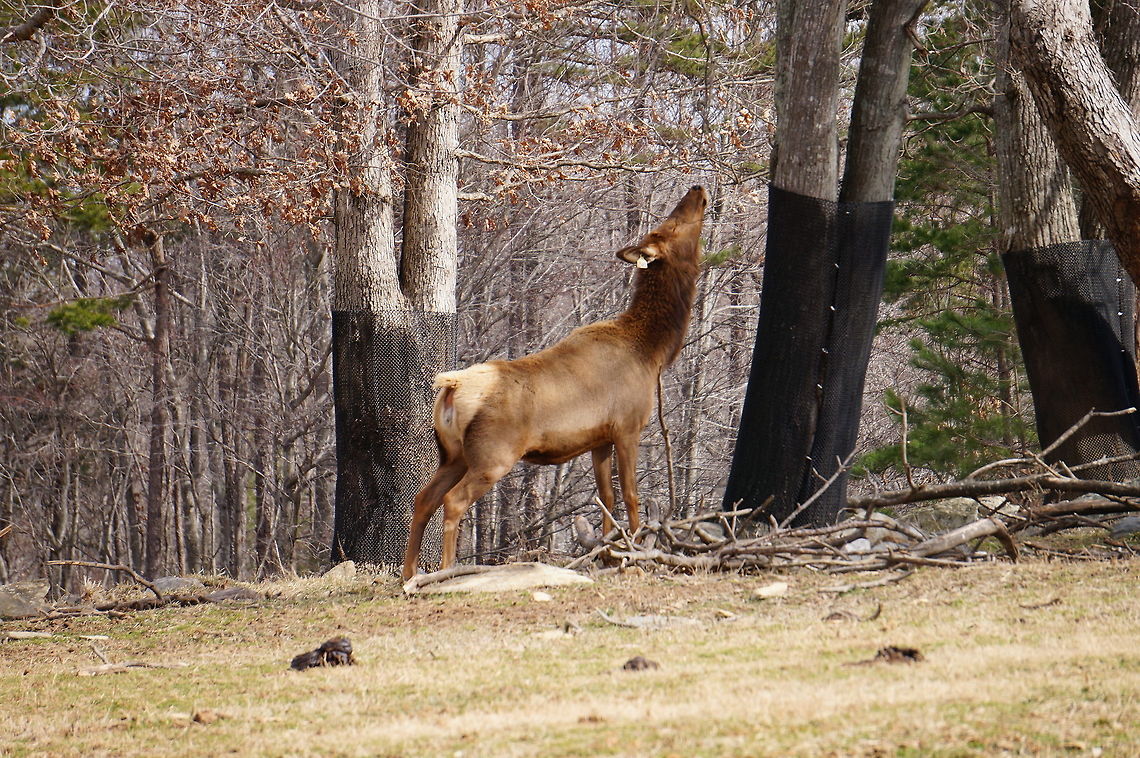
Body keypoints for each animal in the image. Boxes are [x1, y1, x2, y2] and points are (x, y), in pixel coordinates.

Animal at [402, 186, 708, 581]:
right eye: (670, 226)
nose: (697, 190)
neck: (652, 351)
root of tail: (451, 388)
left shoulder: (599, 438)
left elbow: (606, 498)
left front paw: (607, 555)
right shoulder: (628, 426)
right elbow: (631, 496)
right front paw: (637, 558)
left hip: (453, 453)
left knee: (423, 498)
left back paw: (409, 575)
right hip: (492, 454)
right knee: (453, 501)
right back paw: (446, 571)